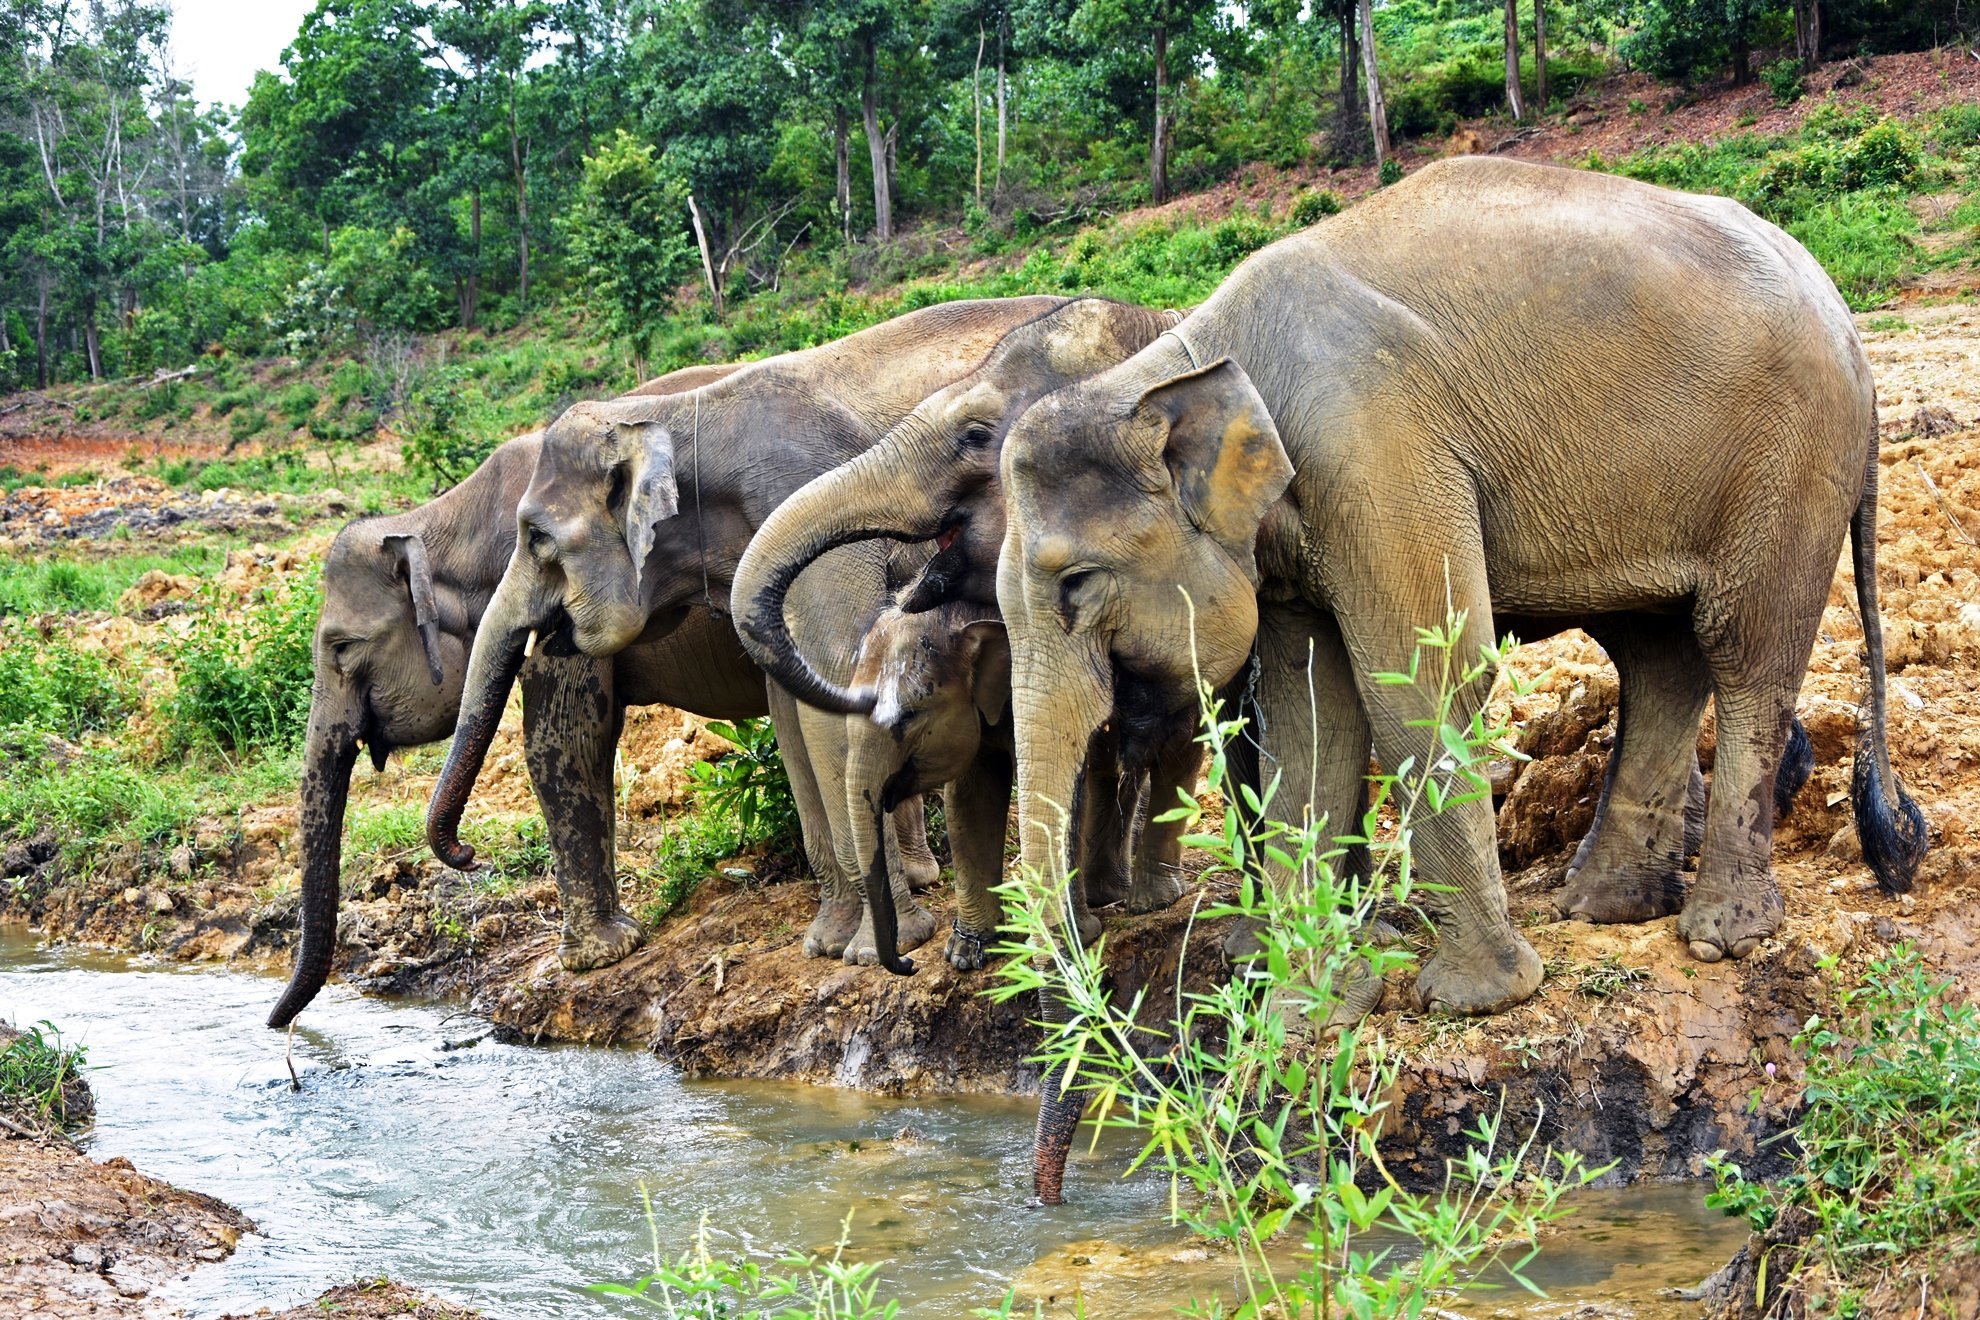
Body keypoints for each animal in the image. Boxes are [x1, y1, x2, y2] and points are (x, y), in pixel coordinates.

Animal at [417, 294, 1069, 965]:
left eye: (537, 538)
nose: (466, 853)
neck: (675, 415)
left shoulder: (807, 505)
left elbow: (833, 698)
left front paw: (872, 952)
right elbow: (792, 714)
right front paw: (826, 944)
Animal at [847, 597, 1195, 969]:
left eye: (909, 716)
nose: (908, 964)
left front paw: (1076, 938)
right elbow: (971, 798)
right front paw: (965, 954)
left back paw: (1142, 899)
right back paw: (1106, 894)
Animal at [997, 155, 1924, 1195]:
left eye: (1075, 585)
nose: (1052, 1196)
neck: (1190, 354)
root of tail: (1850, 327)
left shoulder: (1376, 452)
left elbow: (1418, 680)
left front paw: (1474, 1002)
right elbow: (1310, 719)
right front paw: (1309, 1013)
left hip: (1792, 459)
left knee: (1741, 647)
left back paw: (1723, 933)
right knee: (1659, 654)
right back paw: (1606, 907)